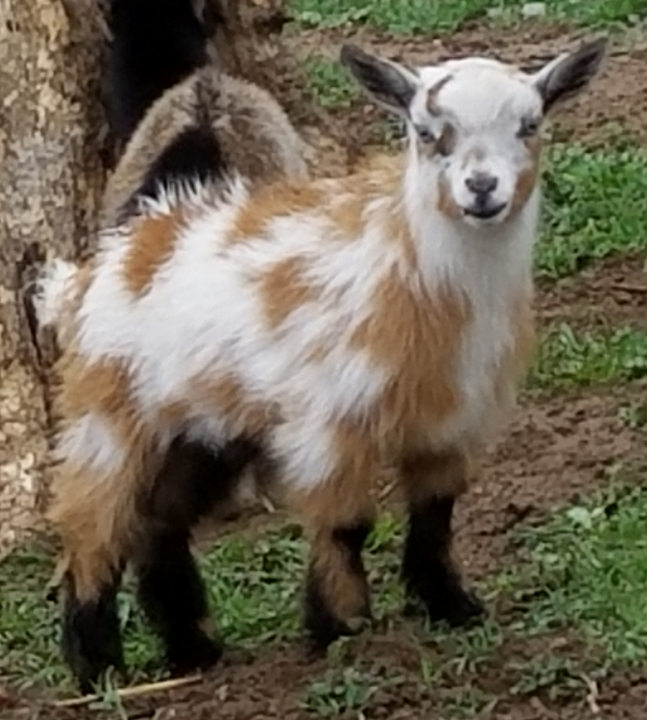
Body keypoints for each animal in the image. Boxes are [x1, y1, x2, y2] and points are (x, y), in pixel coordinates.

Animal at [40, 36, 608, 688]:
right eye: (425, 131)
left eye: (530, 124)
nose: (482, 187)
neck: (422, 279)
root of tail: (108, 262)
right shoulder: (332, 421)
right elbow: (346, 523)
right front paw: (341, 628)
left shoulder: (453, 419)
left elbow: (436, 514)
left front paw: (451, 606)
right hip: (107, 415)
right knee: (93, 528)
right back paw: (96, 666)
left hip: (203, 427)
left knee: (160, 522)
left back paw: (194, 649)